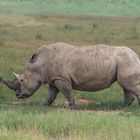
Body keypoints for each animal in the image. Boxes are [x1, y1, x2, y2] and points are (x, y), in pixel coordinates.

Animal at [0, 43, 140, 108]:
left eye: (22, 80)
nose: (17, 95)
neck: (40, 64)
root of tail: (136, 56)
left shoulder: (61, 78)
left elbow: (67, 92)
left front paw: (71, 106)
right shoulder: (54, 78)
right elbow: (51, 94)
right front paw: (44, 105)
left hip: (127, 61)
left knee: (127, 84)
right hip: (125, 61)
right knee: (125, 85)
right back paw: (124, 107)